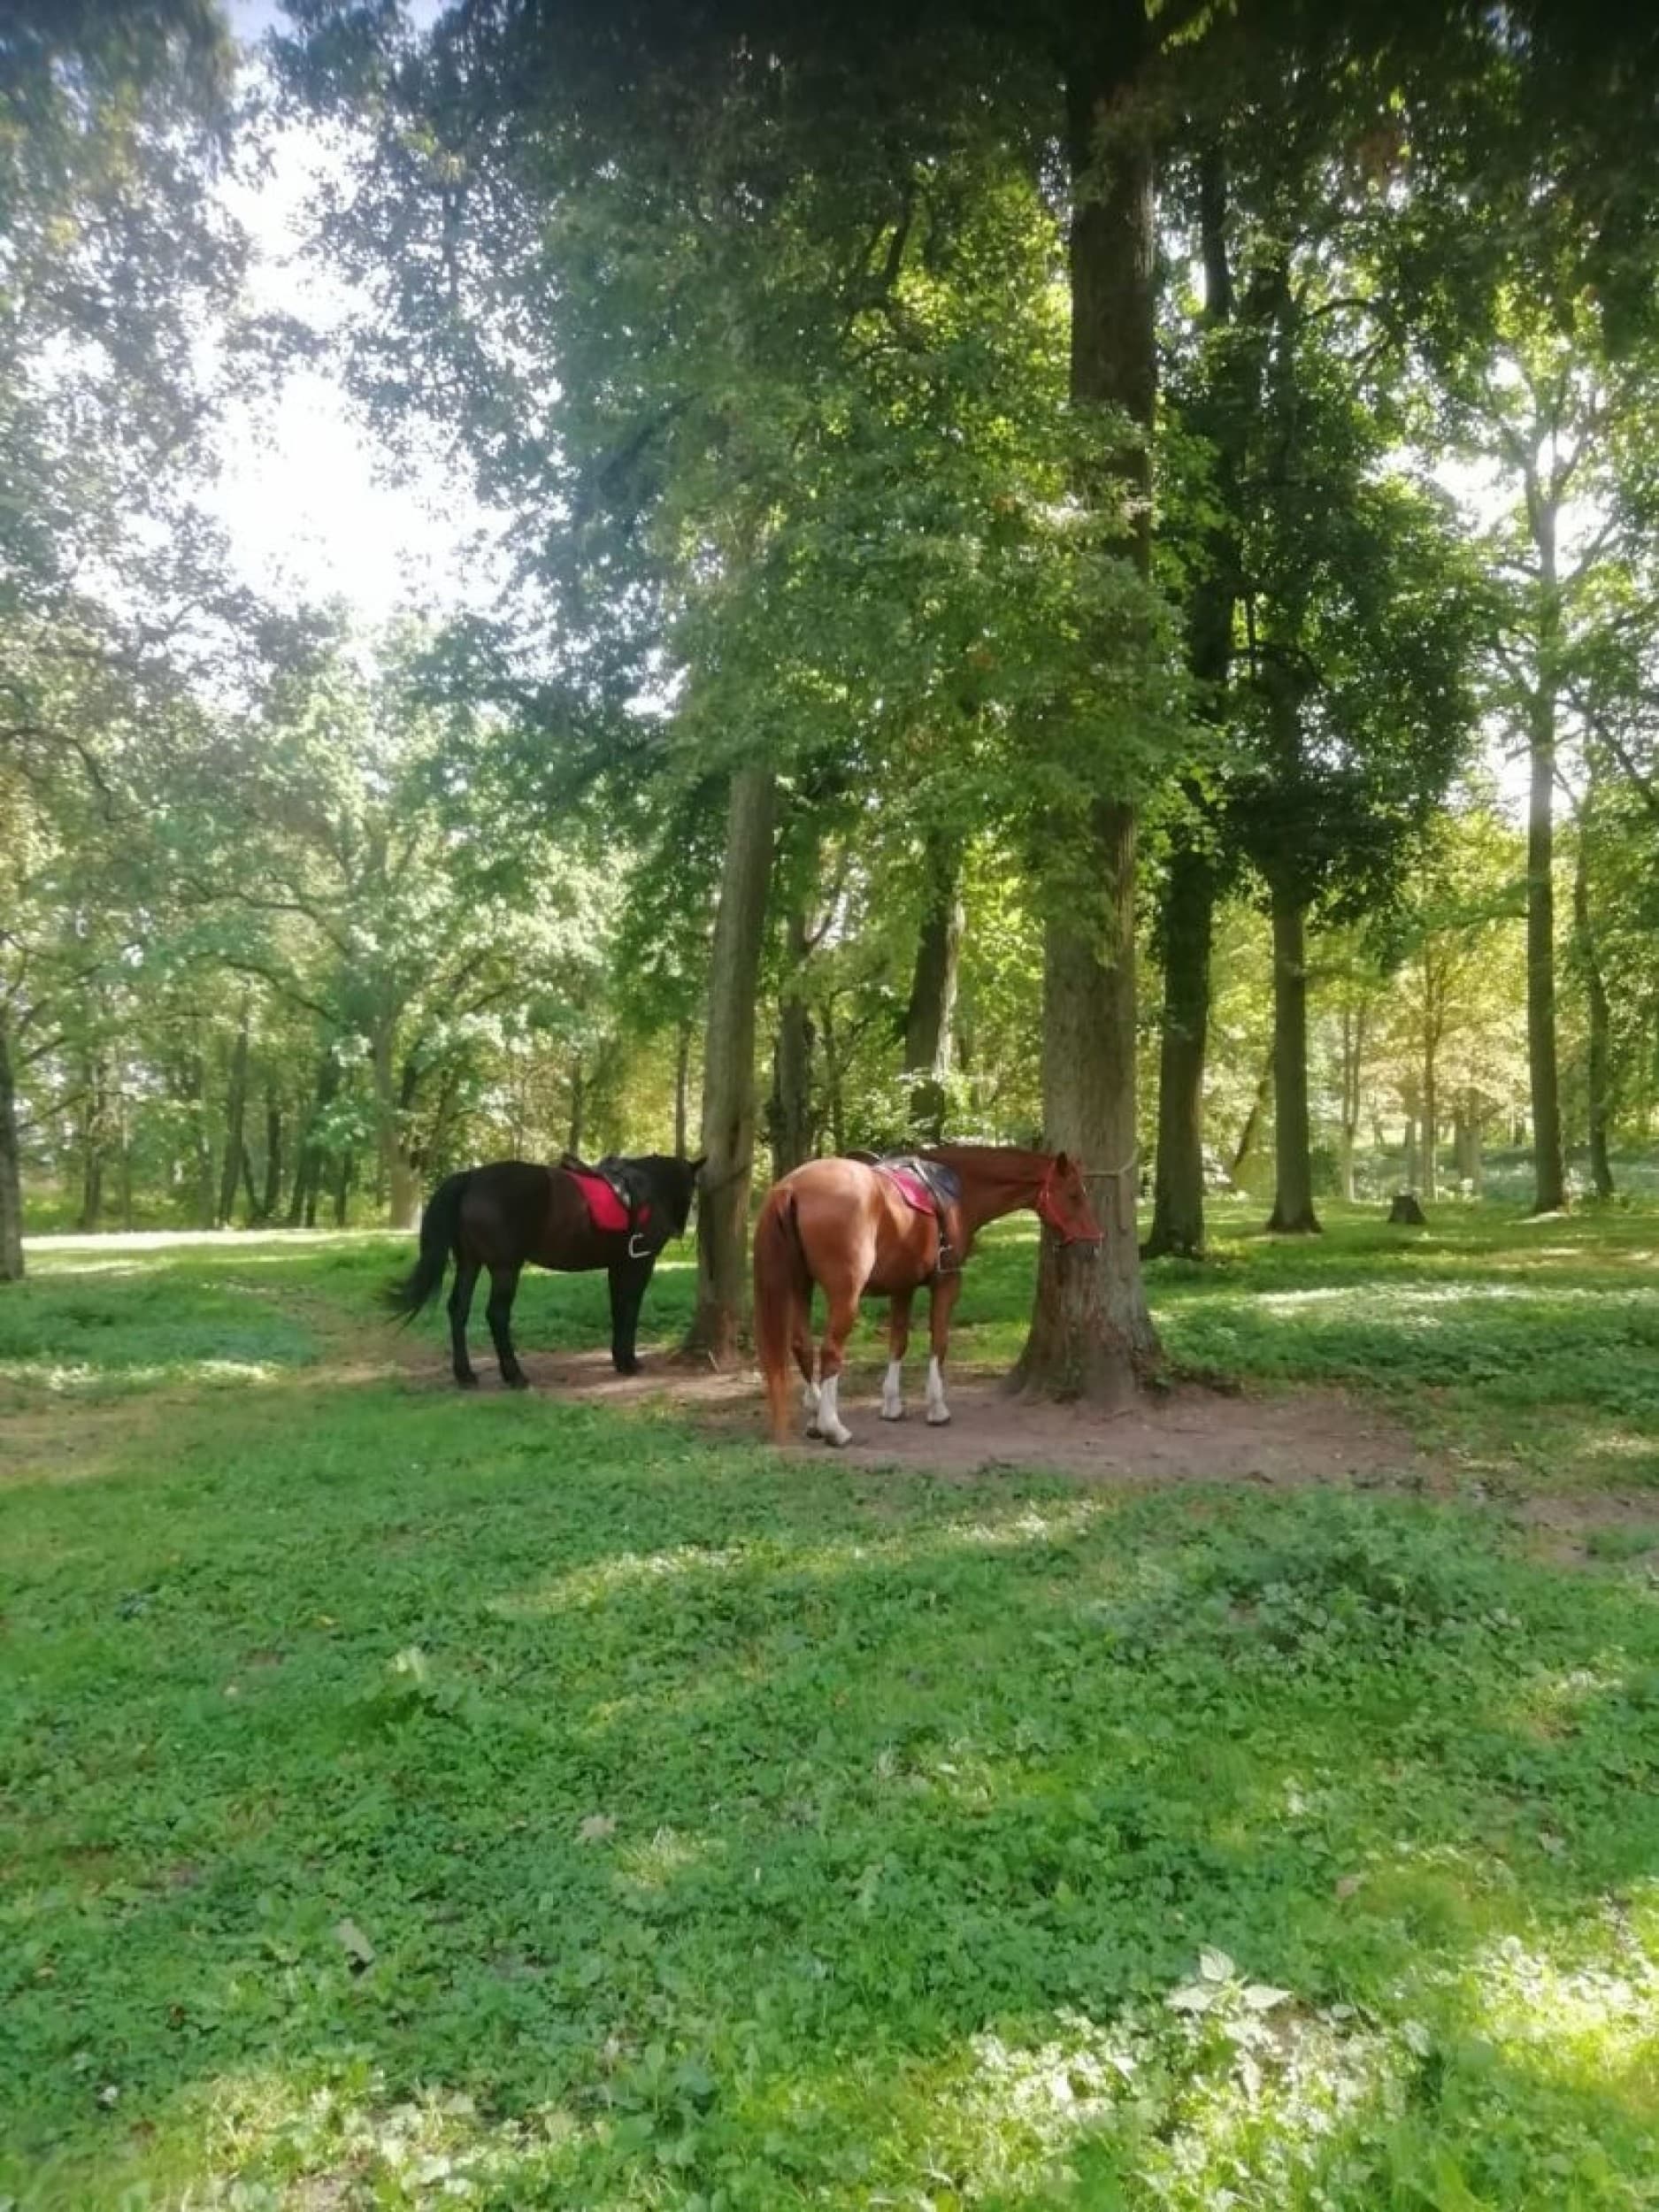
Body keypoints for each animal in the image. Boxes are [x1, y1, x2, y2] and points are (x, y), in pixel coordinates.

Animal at [386, 1153, 703, 1388]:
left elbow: (618, 1309)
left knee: (458, 1309)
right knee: (497, 1314)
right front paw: (629, 1362)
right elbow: (630, 1309)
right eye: (693, 1187)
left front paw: (619, 1359)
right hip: (505, 1268)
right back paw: (515, 1375)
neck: (649, 1189)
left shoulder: (618, 1266)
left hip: (470, 1264)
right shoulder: (639, 1265)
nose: (680, 1229)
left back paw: (465, 1374)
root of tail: (472, 1178)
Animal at [752, 1144, 1102, 1447]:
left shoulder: (902, 1286)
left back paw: (814, 1417)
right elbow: (939, 1341)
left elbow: (898, 1341)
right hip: (844, 1293)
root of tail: (791, 1188)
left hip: (800, 1285)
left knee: (802, 1346)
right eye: (1074, 1194)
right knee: (830, 1351)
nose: (1095, 1242)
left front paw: (892, 1405)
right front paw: (937, 1408)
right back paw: (833, 1428)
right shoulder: (947, 1281)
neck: (958, 1193)